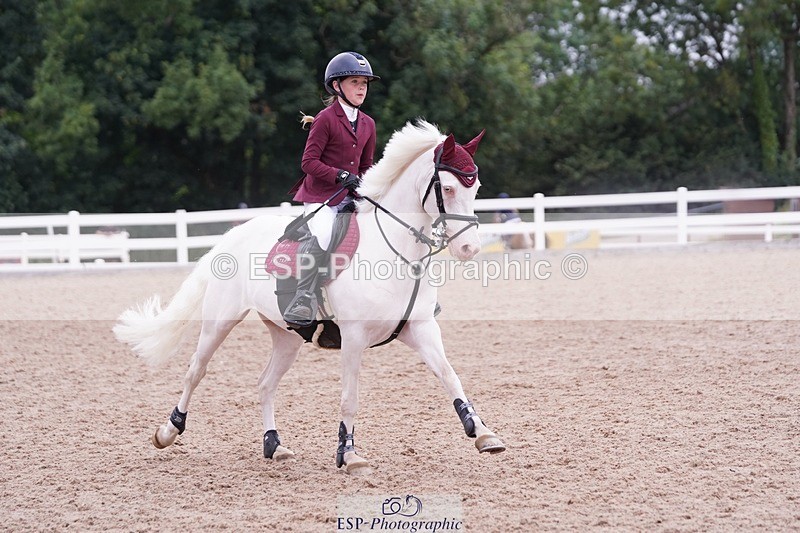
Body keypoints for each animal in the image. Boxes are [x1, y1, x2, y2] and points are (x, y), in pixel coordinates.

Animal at [114, 119, 506, 473]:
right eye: (449, 189)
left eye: (476, 187)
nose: (470, 249)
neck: (395, 250)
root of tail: (232, 234)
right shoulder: (354, 336)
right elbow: (349, 398)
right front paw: (348, 454)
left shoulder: (420, 328)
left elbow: (450, 375)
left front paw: (482, 433)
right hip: (220, 321)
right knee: (196, 370)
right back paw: (168, 431)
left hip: (286, 336)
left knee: (265, 384)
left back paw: (274, 446)